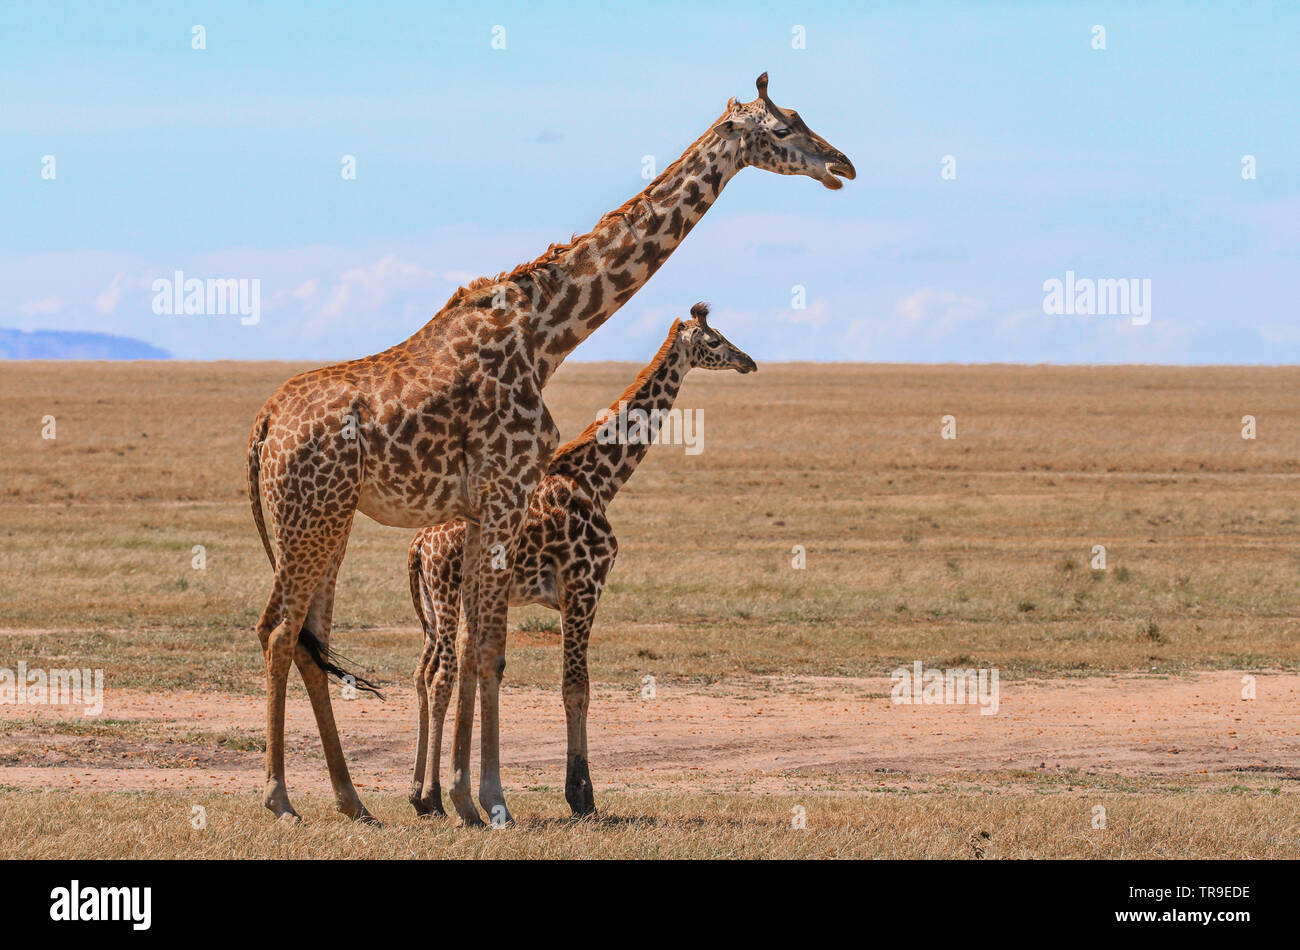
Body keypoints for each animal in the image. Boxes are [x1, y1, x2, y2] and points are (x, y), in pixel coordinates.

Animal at [406, 303, 755, 819]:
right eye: (713, 341)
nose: (748, 361)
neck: (600, 479)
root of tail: (417, 547)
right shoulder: (584, 586)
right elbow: (577, 686)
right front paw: (581, 794)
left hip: (435, 608)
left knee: (425, 672)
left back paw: (423, 795)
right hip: (449, 596)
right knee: (442, 675)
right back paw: (435, 796)